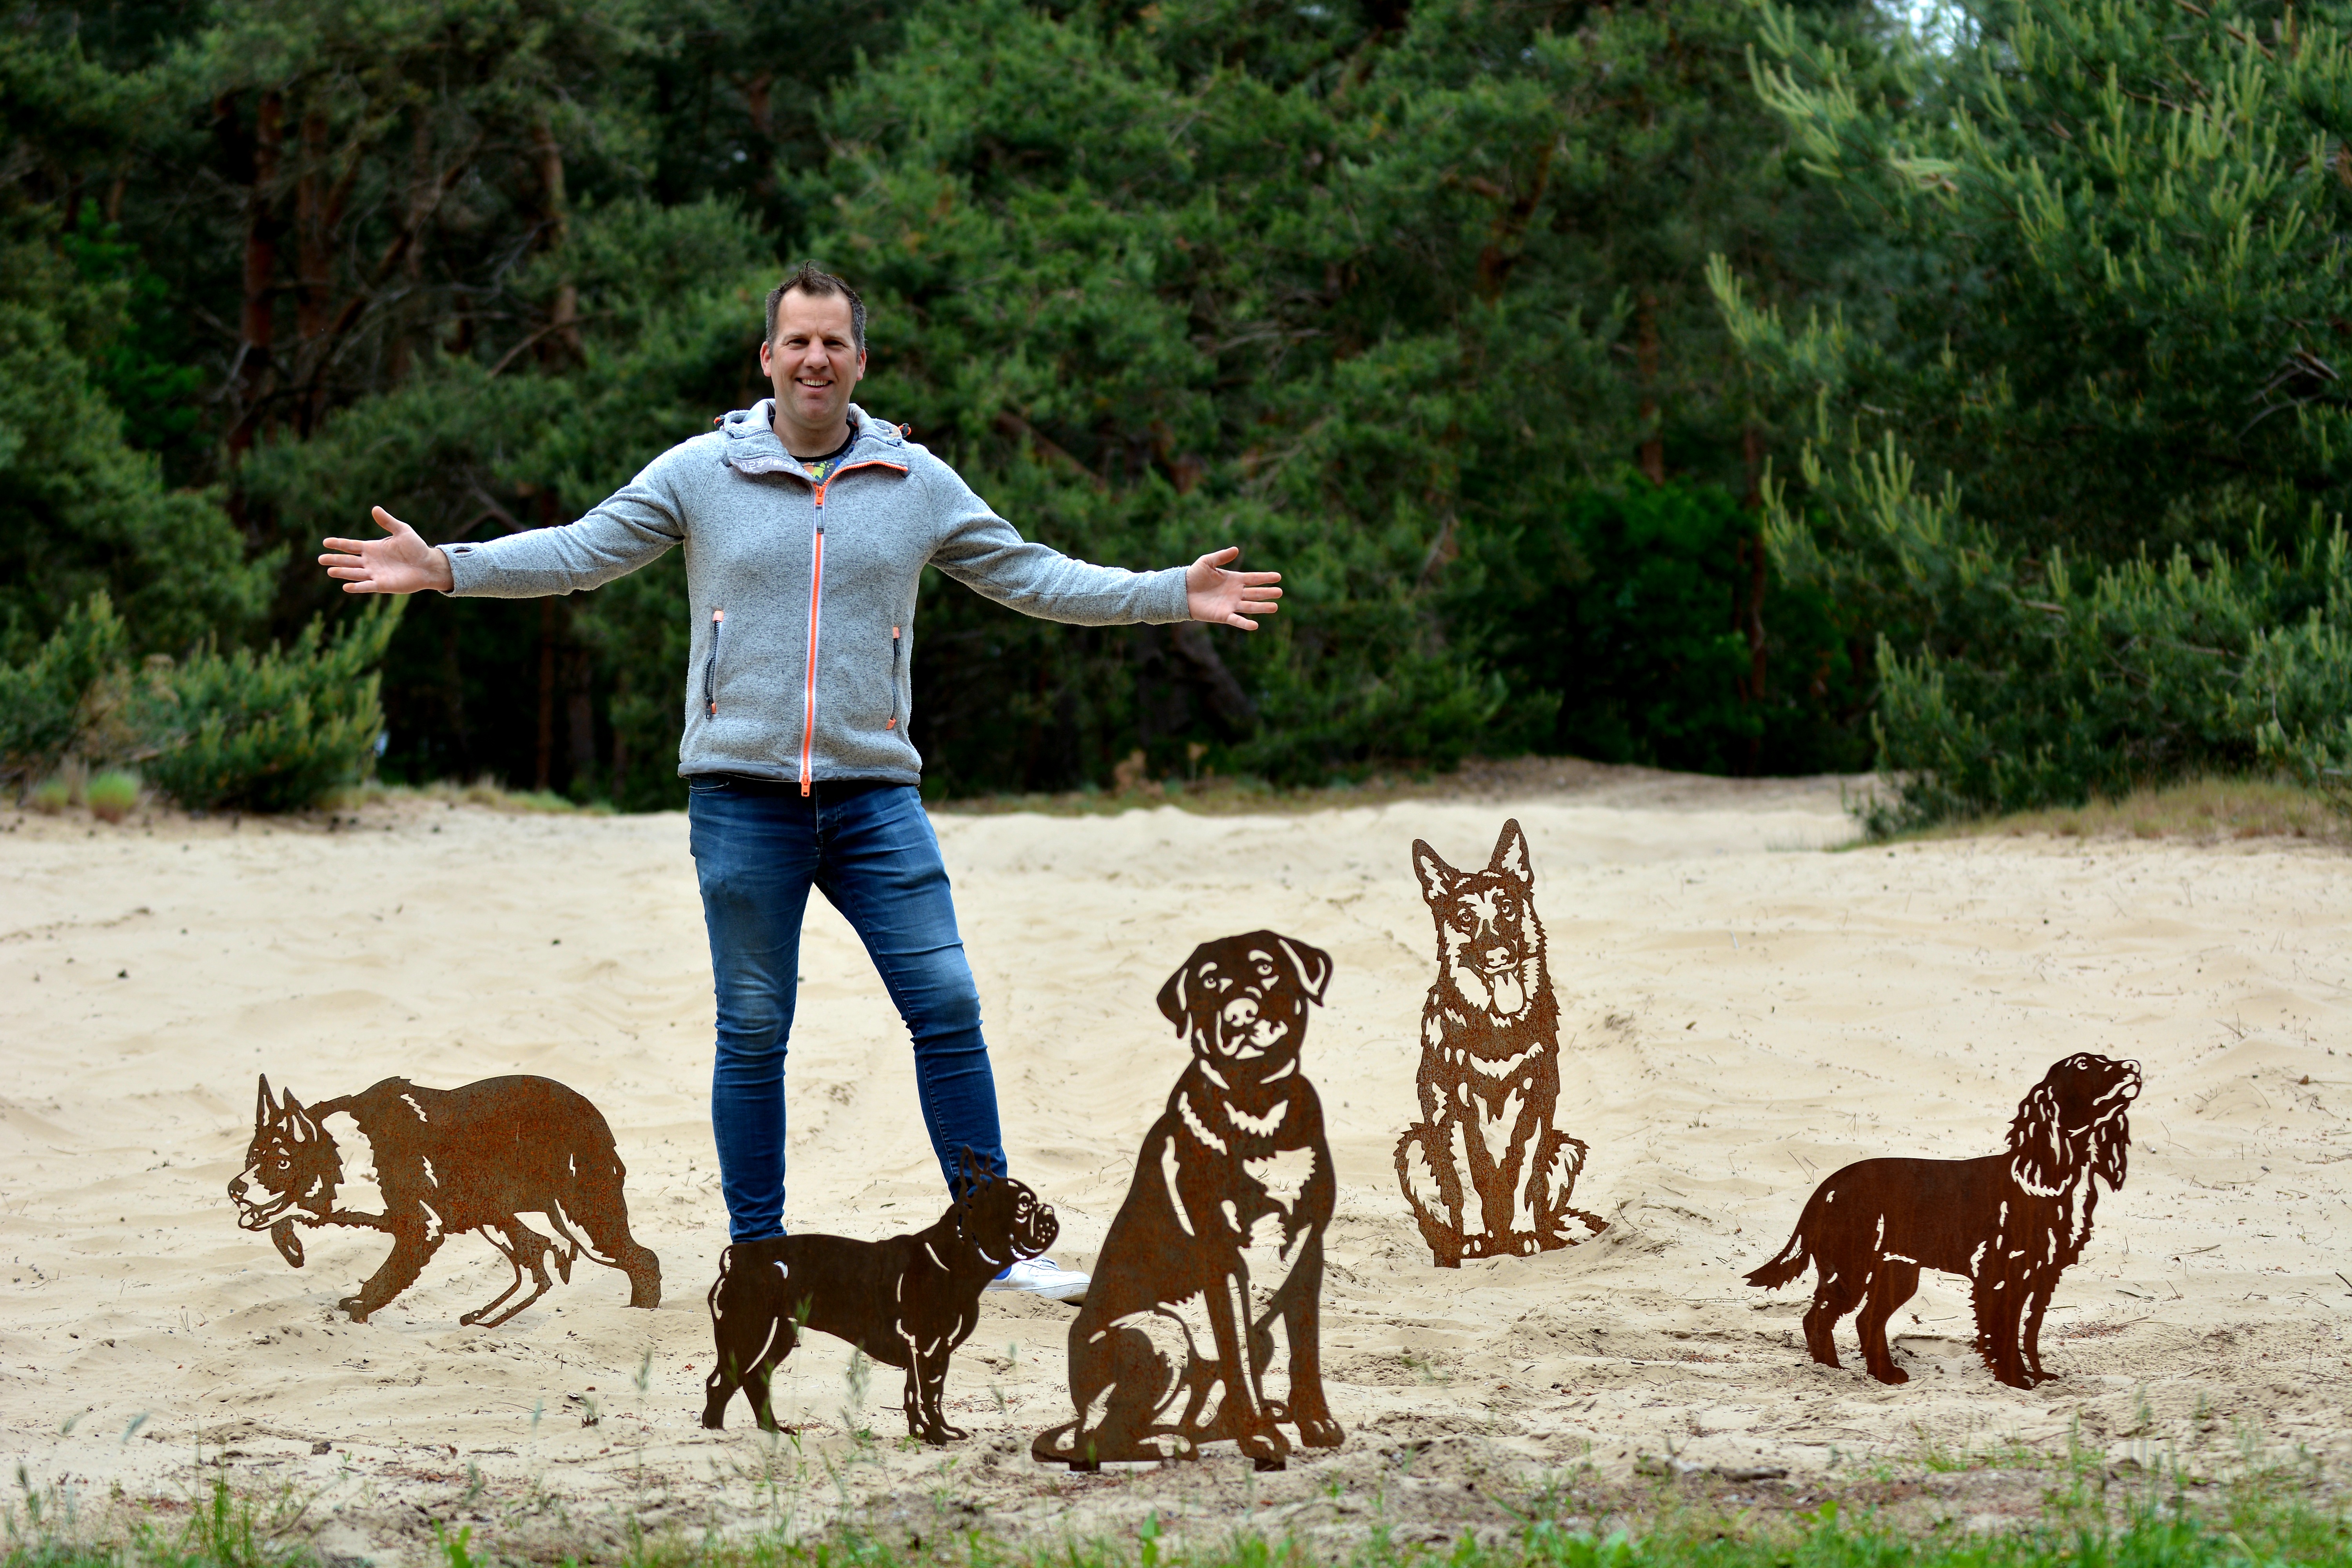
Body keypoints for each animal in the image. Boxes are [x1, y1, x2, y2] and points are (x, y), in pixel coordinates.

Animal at [701, 1166, 1063, 1448]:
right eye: (1023, 1207)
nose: (1049, 1211)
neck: (956, 1258)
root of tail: (737, 1256)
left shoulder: (936, 1352)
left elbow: (925, 1395)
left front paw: (931, 1433)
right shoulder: (927, 1349)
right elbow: (927, 1396)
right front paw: (936, 1436)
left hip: (780, 1334)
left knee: (755, 1379)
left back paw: (772, 1431)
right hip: (750, 1332)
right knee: (724, 1381)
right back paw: (716, 1433)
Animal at [1035, 931, 1345, 1476]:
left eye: (1266, 968)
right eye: (1210, 982)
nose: (1239, 1014)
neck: (1258, 1110)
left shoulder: (1309, 1251)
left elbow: (1304, 1354)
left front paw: (1314, 1424)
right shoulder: (1223, 1257)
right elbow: (1237, 1354)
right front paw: (1263, 1437)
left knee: (1191, 1412)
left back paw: (1205, 1433)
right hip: (1160, 1334)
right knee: (1098, 1434)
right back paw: (1163, 1445)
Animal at [1750, 1053, 2154, 1382]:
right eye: (2084, 1065)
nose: (2134, 1066)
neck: (2049, 1179)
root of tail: (1827, 1188)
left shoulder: (2044, 1274)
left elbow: (2029, 1332)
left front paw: (2039, 1377)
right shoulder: (1999, 1275)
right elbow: (2003, 1333)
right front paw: (2014, 1381)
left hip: (1898, 1271)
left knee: (1867, 1320)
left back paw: (1885, 1375)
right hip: (1852, 1267)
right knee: (1818, 1317)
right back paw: (1831, 1372)